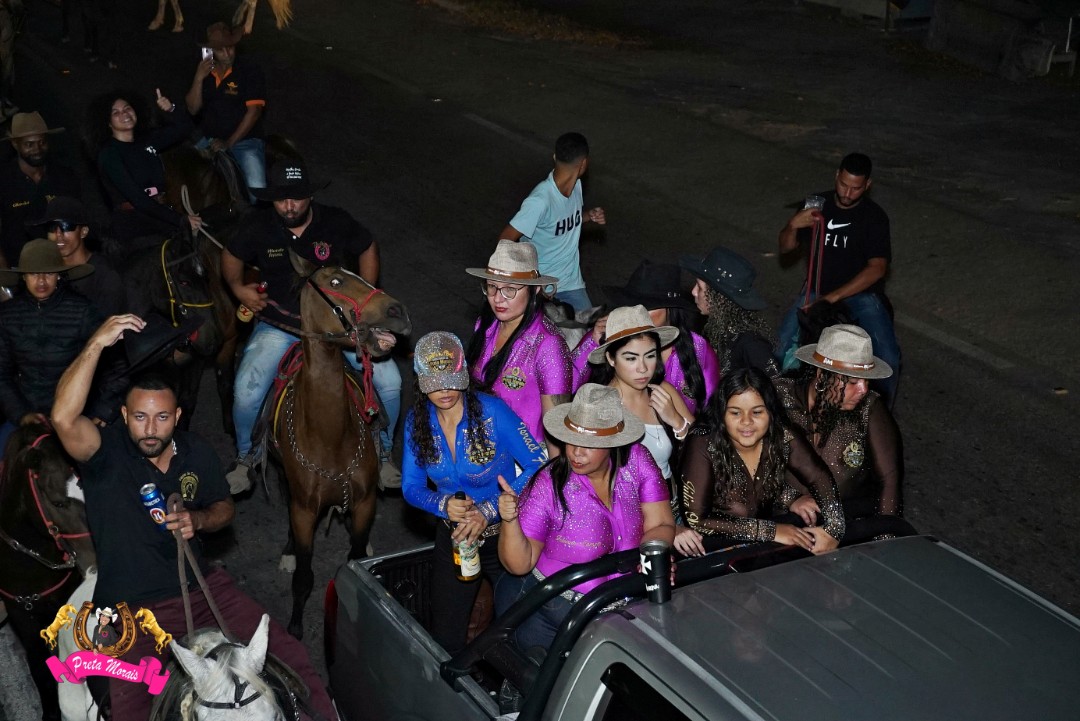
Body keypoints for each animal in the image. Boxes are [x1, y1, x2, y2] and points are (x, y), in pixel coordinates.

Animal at [272, 250, 410, 638]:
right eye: (335, 281)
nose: (398, 310)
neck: (330, 438)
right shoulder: (304, 512)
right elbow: (304, 577)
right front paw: (295, 626)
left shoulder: (364, 504)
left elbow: (356, 557)